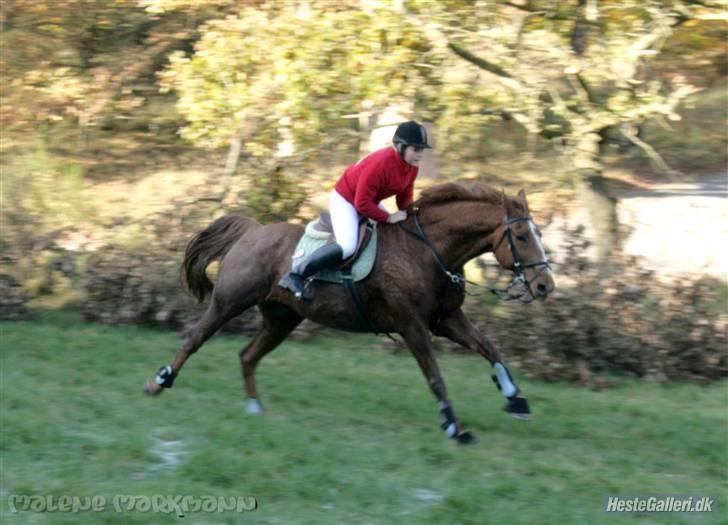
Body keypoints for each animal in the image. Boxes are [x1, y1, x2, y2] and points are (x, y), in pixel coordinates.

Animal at [145, 179, 556, 442]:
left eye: (537, 234)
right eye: (522, 237)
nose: (545, 286)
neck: (430, 251)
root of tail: (253, 231)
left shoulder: (447, 320)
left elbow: (490, 348)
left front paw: (516, 399)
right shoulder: (412, 326)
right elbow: (435, 377)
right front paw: (455, 427)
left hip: (282, 319)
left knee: (247, 355)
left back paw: (255, 408)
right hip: (229, 301)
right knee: (194, 338)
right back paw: (158, 383)